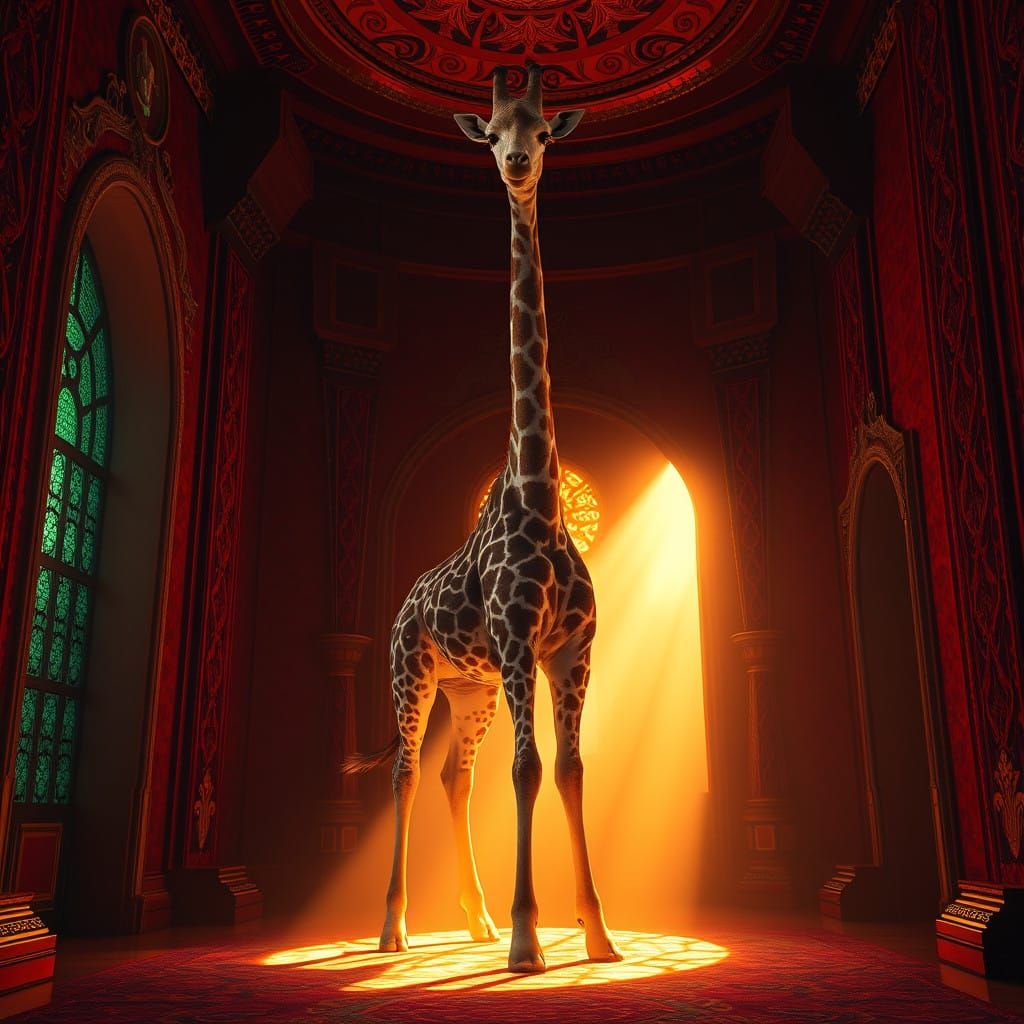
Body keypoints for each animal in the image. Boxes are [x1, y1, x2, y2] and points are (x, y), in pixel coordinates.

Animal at [343, 63, 622, 974]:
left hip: (470, 690)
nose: (515, 166)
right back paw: (393, 929)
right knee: (402, 772)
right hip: (416, 672)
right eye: (493, 132)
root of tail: (402, 602)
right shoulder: (516, 643)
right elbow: (529, 770)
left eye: (541, 131)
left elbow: (569, 770)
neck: (539, 491)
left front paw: (597, 935)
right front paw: (533, 942)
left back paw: (474, 921)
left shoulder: (569, 649)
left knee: (451, 776)